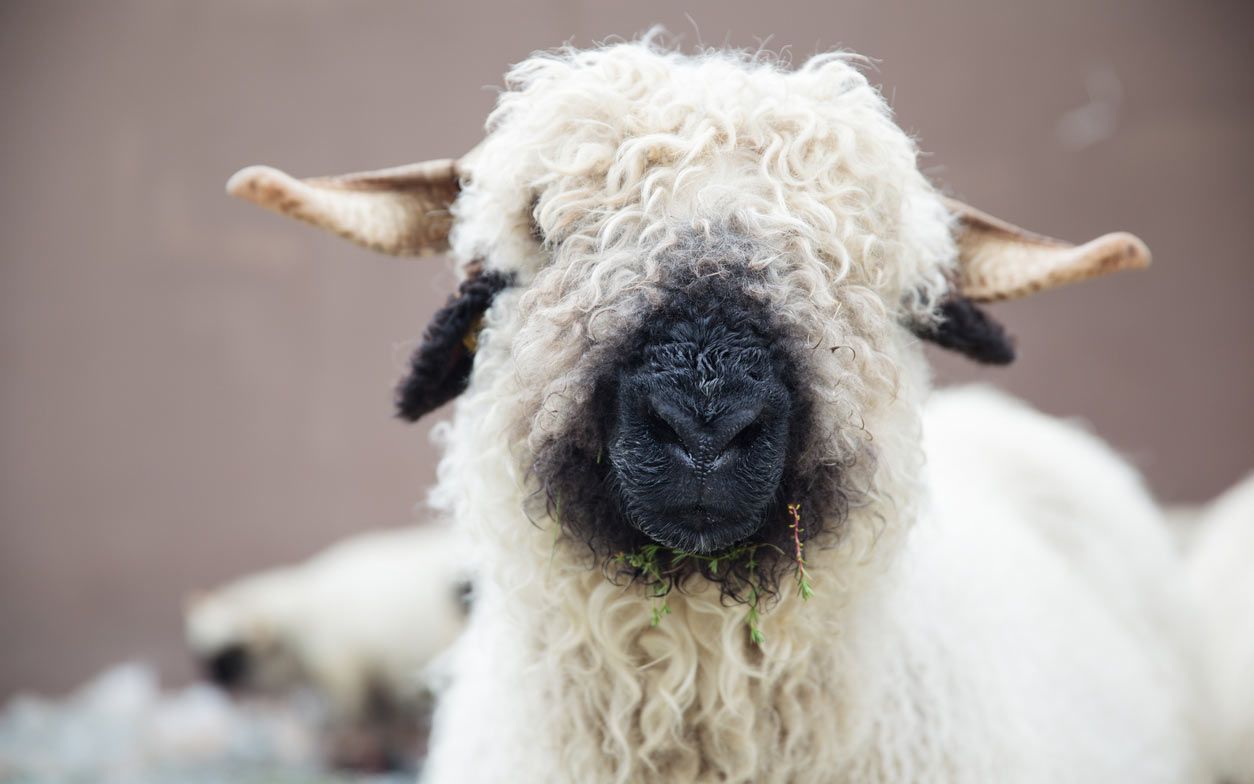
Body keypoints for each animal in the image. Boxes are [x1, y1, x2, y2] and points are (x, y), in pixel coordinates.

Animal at [185, 523, 470, 769]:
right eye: (203, 656)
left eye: (234, 656)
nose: (220, 688)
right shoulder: (374, 682)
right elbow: (380, 723)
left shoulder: (344, 676)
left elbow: (355, 723)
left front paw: (357, 757)